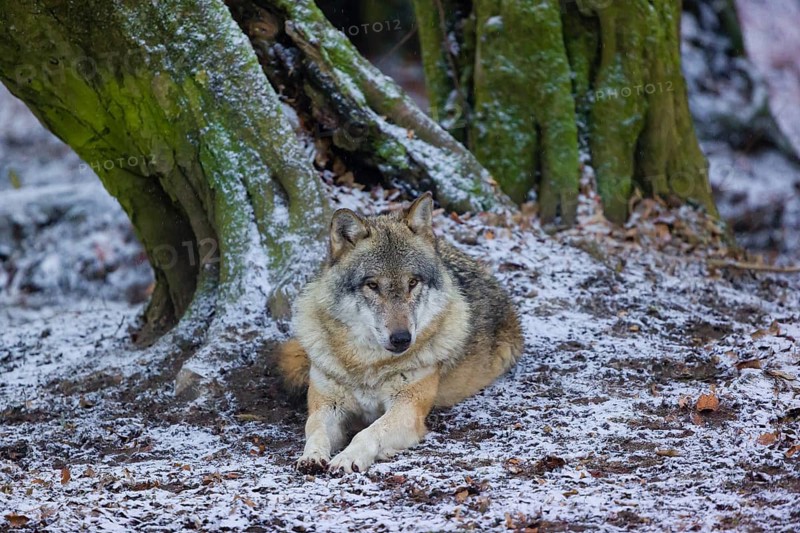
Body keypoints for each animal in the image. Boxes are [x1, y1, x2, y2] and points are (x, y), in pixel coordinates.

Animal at [277, 192, 523, 474]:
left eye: (412, 283)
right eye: (372, 285)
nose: (402, 338)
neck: (367, 365)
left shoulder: (407, 408)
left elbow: (368, 432)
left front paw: (348, 458)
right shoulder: (328, 405)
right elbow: (315, 429)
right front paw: (312, 456)